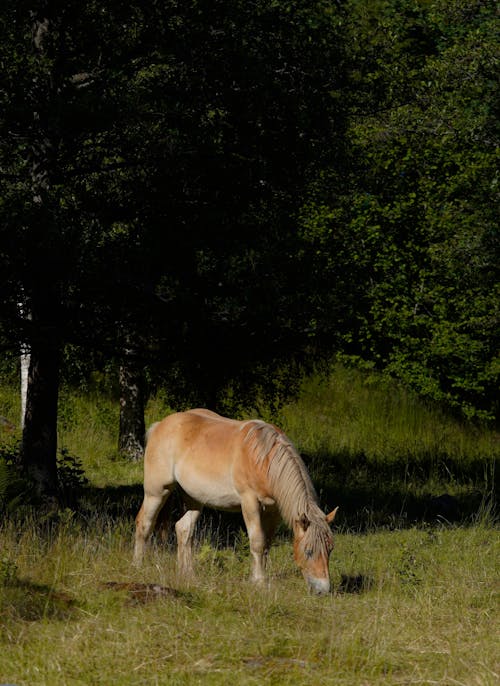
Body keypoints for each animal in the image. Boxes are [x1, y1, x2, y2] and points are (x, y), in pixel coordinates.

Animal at [133, 408, 338, 596]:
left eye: (330, 549)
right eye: (309, 551)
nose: (322, 590)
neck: (263, 459)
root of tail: (159, 425)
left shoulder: (273, 510)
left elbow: (267, 544)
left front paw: (257, 577)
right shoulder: (249, 503)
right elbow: (257, 541)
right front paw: (259, 581)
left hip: (194, 499)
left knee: (183, 529)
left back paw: (188, 574)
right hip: (156, 492)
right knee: (144, 523)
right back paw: (138, 565)